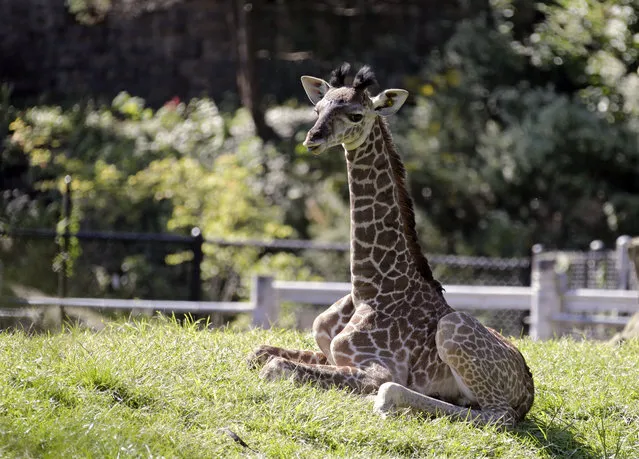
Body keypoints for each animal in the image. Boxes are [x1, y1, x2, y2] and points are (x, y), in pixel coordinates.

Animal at [248, 63, 536, 430]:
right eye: (317, 109)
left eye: (356, 115)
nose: (313, 138)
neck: (367, 288)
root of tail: (528, 390)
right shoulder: (331, 354)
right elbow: (259, 353)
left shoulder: (376, 369)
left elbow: (276, 367)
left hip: (455, 332)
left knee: (497, 417)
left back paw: (388, 401)